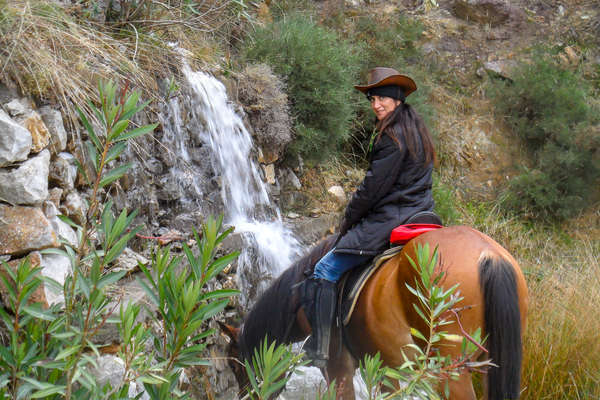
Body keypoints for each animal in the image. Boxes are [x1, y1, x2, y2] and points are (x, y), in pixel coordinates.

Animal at [223, 227, 528, 398]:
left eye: (235, 365)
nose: (249, 395)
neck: (300, 300)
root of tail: (490, 256)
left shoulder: (339, 368)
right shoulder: (386, 370)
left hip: (450, 372)